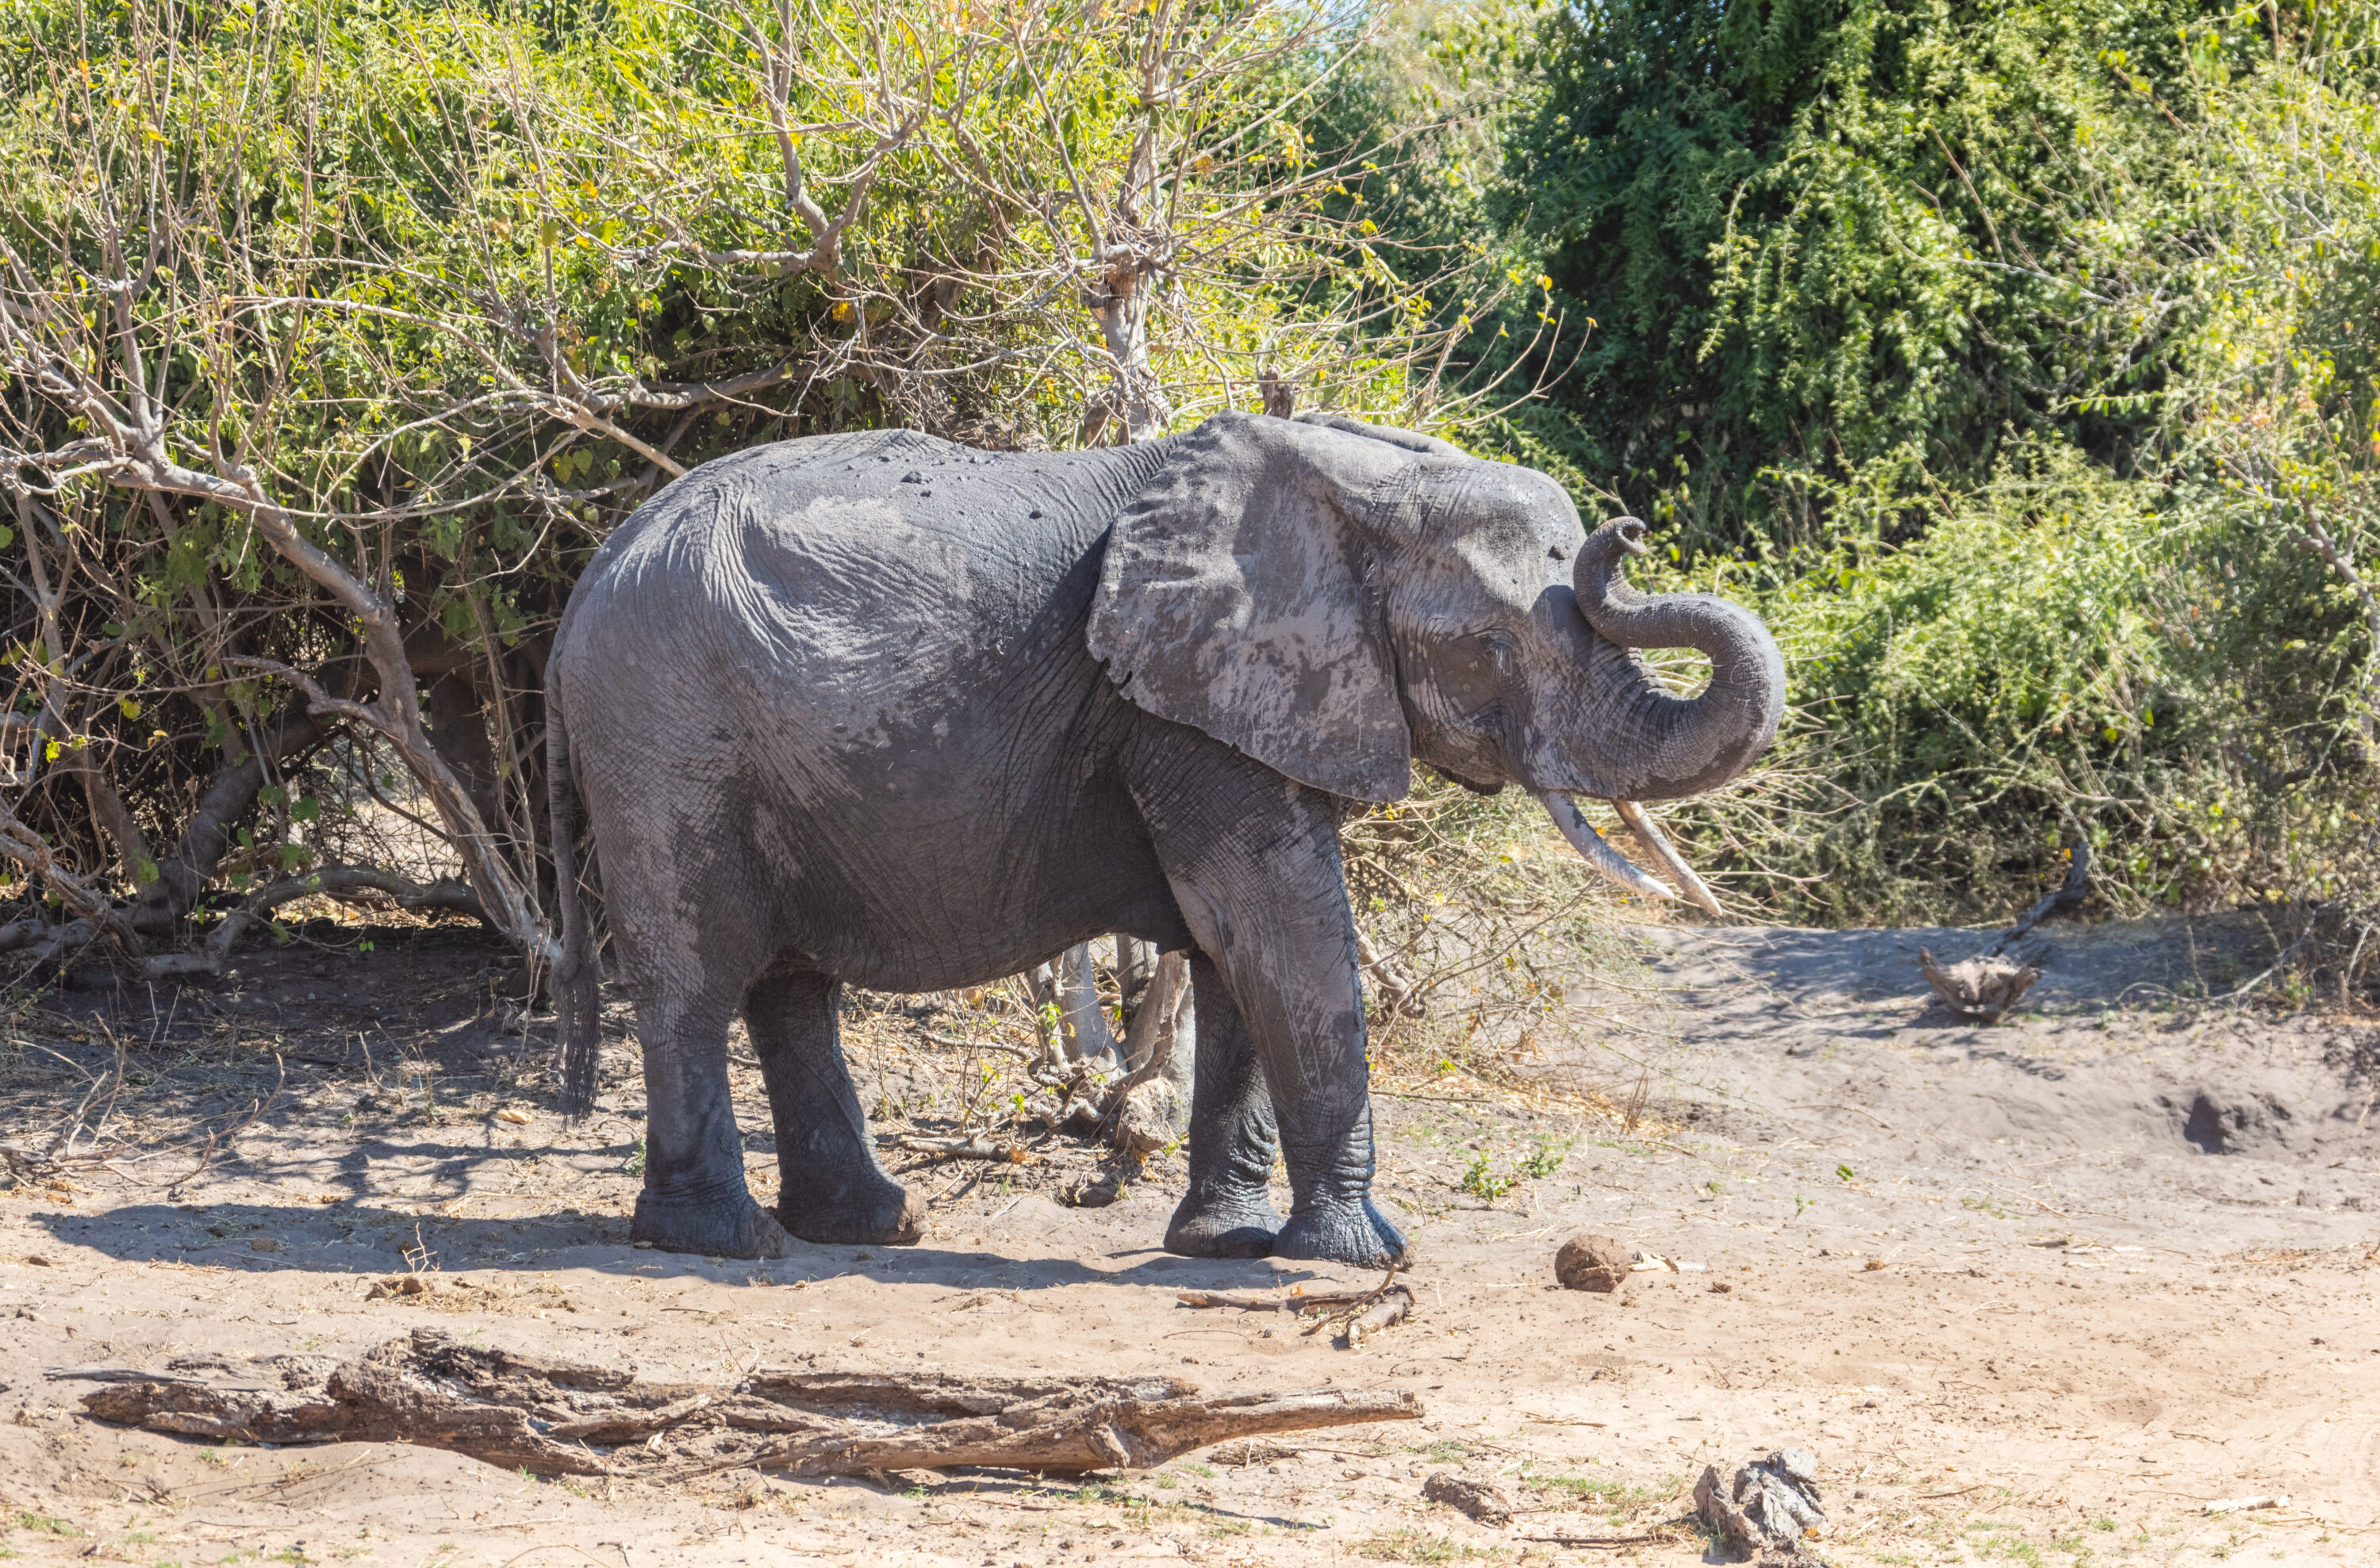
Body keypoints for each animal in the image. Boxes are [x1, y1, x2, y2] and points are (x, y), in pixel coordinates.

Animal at [543, 410, 1783, 1266]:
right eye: (1488, 646)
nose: (1627, 531)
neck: (1362, 478)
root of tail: (587, 582)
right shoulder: (1180, 710)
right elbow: (1281, 928)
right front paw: (1364, 1255)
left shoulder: (1230, 704)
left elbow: (1238, 949)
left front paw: (1227, 1245)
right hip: (663, 733)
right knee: (695, 975)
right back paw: (723, 1241)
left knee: (791, 988)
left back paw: (869, 1226)